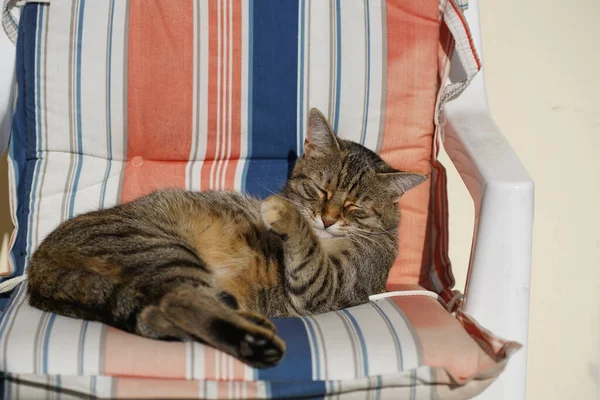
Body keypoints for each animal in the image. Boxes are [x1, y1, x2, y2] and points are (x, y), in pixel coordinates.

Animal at [27, 108, 426, 368]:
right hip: (163, 249)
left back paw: (252, 335)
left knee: (171, 308)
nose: (327, 219)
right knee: (175, 305)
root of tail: (38, 264)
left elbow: (308, 252)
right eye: (320, 190)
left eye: (354, 206)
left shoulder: (332, 284)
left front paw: (285, 214)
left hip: (164, 255)